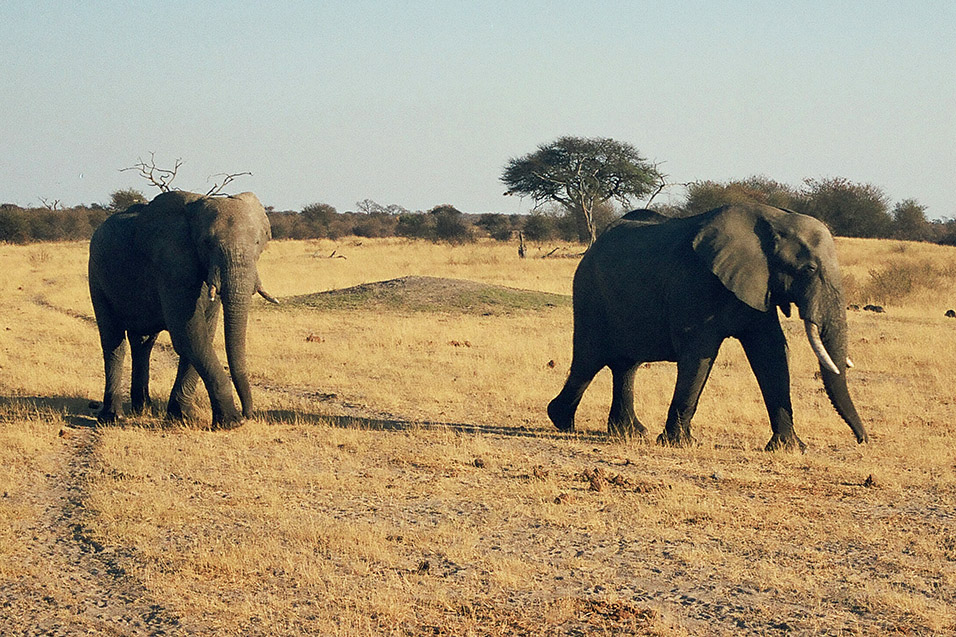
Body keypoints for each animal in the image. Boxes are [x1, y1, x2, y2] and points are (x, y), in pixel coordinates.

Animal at [88, 189, 280, 428]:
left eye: (257, 242)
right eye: (206, 243)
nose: (248, 414)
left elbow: (202, 334)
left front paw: (182, 416)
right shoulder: (171, 267)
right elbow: (189, 335)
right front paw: (231, 422)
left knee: (143, 343)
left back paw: (144, 408)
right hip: (97, 276)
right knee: (113, 342)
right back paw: (113, 417)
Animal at [544, 201, 868, 450]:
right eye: (809, 269)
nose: (862, 440)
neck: (771, 220)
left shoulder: (757, 285)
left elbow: (771, 352)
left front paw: (789, 448)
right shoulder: (695, 281)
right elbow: (699, 353)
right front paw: (679, 443)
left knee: (625, 365)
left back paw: (630, 432)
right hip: (589, 293)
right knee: (589, 360)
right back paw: (561, 420)